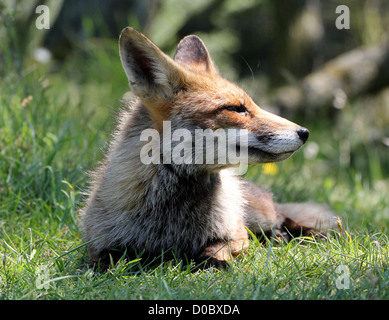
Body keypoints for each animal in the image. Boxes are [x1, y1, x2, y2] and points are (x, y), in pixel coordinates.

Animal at [79, 27, 336, 270]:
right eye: (236, 108)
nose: (305, 132)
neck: (171, 220)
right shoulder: (98, 240)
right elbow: (103, 260)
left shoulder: (236, 234)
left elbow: (217, 247)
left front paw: (212, 263)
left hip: (261, 214)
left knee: (284, 219)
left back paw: (311, 234)